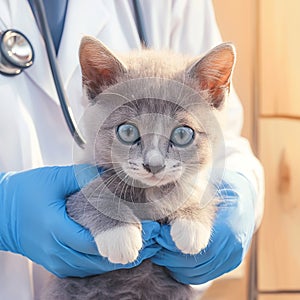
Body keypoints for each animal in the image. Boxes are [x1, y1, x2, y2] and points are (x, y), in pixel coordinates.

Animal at [43, 37, 236, 300]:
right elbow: (86, 197)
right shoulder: (75, 186)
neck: (149, 193)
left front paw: (191, 223)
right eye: (127, 131)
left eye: (182, 134)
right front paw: (120, 234)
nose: (153, 165)